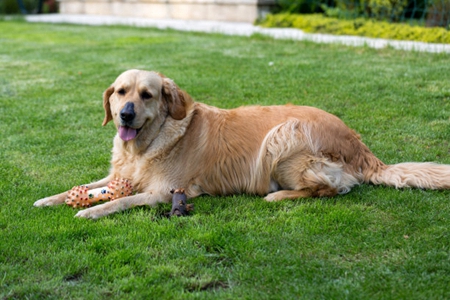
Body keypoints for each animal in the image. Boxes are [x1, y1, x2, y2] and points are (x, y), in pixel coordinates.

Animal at [33, 69, 450, 218]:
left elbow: (120, 201)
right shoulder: (120, 174)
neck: (148, 145)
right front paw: (50, 200)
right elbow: (85, 187)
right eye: (120, 92)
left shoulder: (165, 191)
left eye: (147, 95)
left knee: (333, 188)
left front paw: (89, 213)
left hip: (284, 135)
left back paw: (278, 195)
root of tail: (359, 145)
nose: (125, 115)